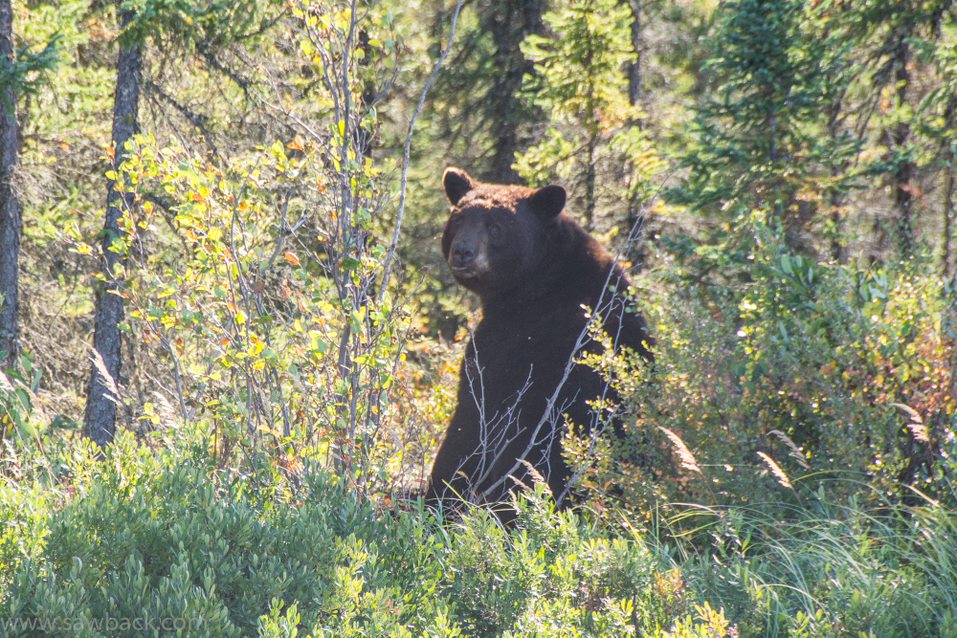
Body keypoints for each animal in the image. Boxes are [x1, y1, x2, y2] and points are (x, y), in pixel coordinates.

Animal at [425, 167, 653, 516]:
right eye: (459, 218)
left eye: (496, 227)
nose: (463, 252)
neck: (537, 285)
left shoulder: (508, 347)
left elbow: (471, 421)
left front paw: (440, 497)